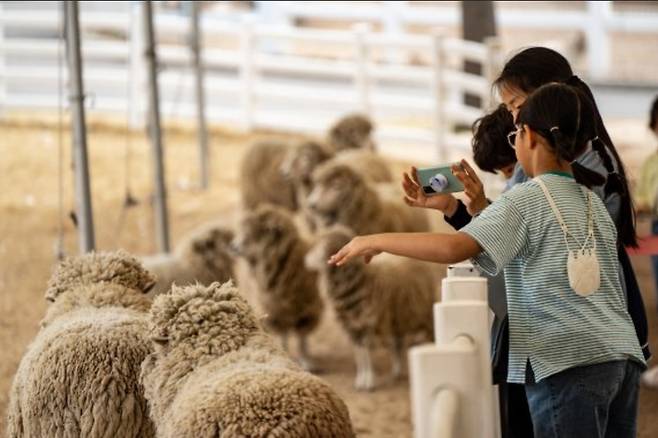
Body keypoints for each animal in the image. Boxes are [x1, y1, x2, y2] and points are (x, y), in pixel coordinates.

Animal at [231, 204, 322, 372]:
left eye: (253, 233)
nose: (232, 247)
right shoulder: (275, 310)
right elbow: (283, 336)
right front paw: (283, 353)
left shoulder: (307, 309)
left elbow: (302, 339)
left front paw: (307, 362)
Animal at [304, 226, 440, 390]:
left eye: (322, 246)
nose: (305, 260)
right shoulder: (352, 328)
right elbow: (359, 355)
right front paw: (360, 380)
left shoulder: (367, 324)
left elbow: (367, 354)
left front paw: (369, 381)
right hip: (397, 316)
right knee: (397, 344)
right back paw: (397, 371)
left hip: (421, 313)